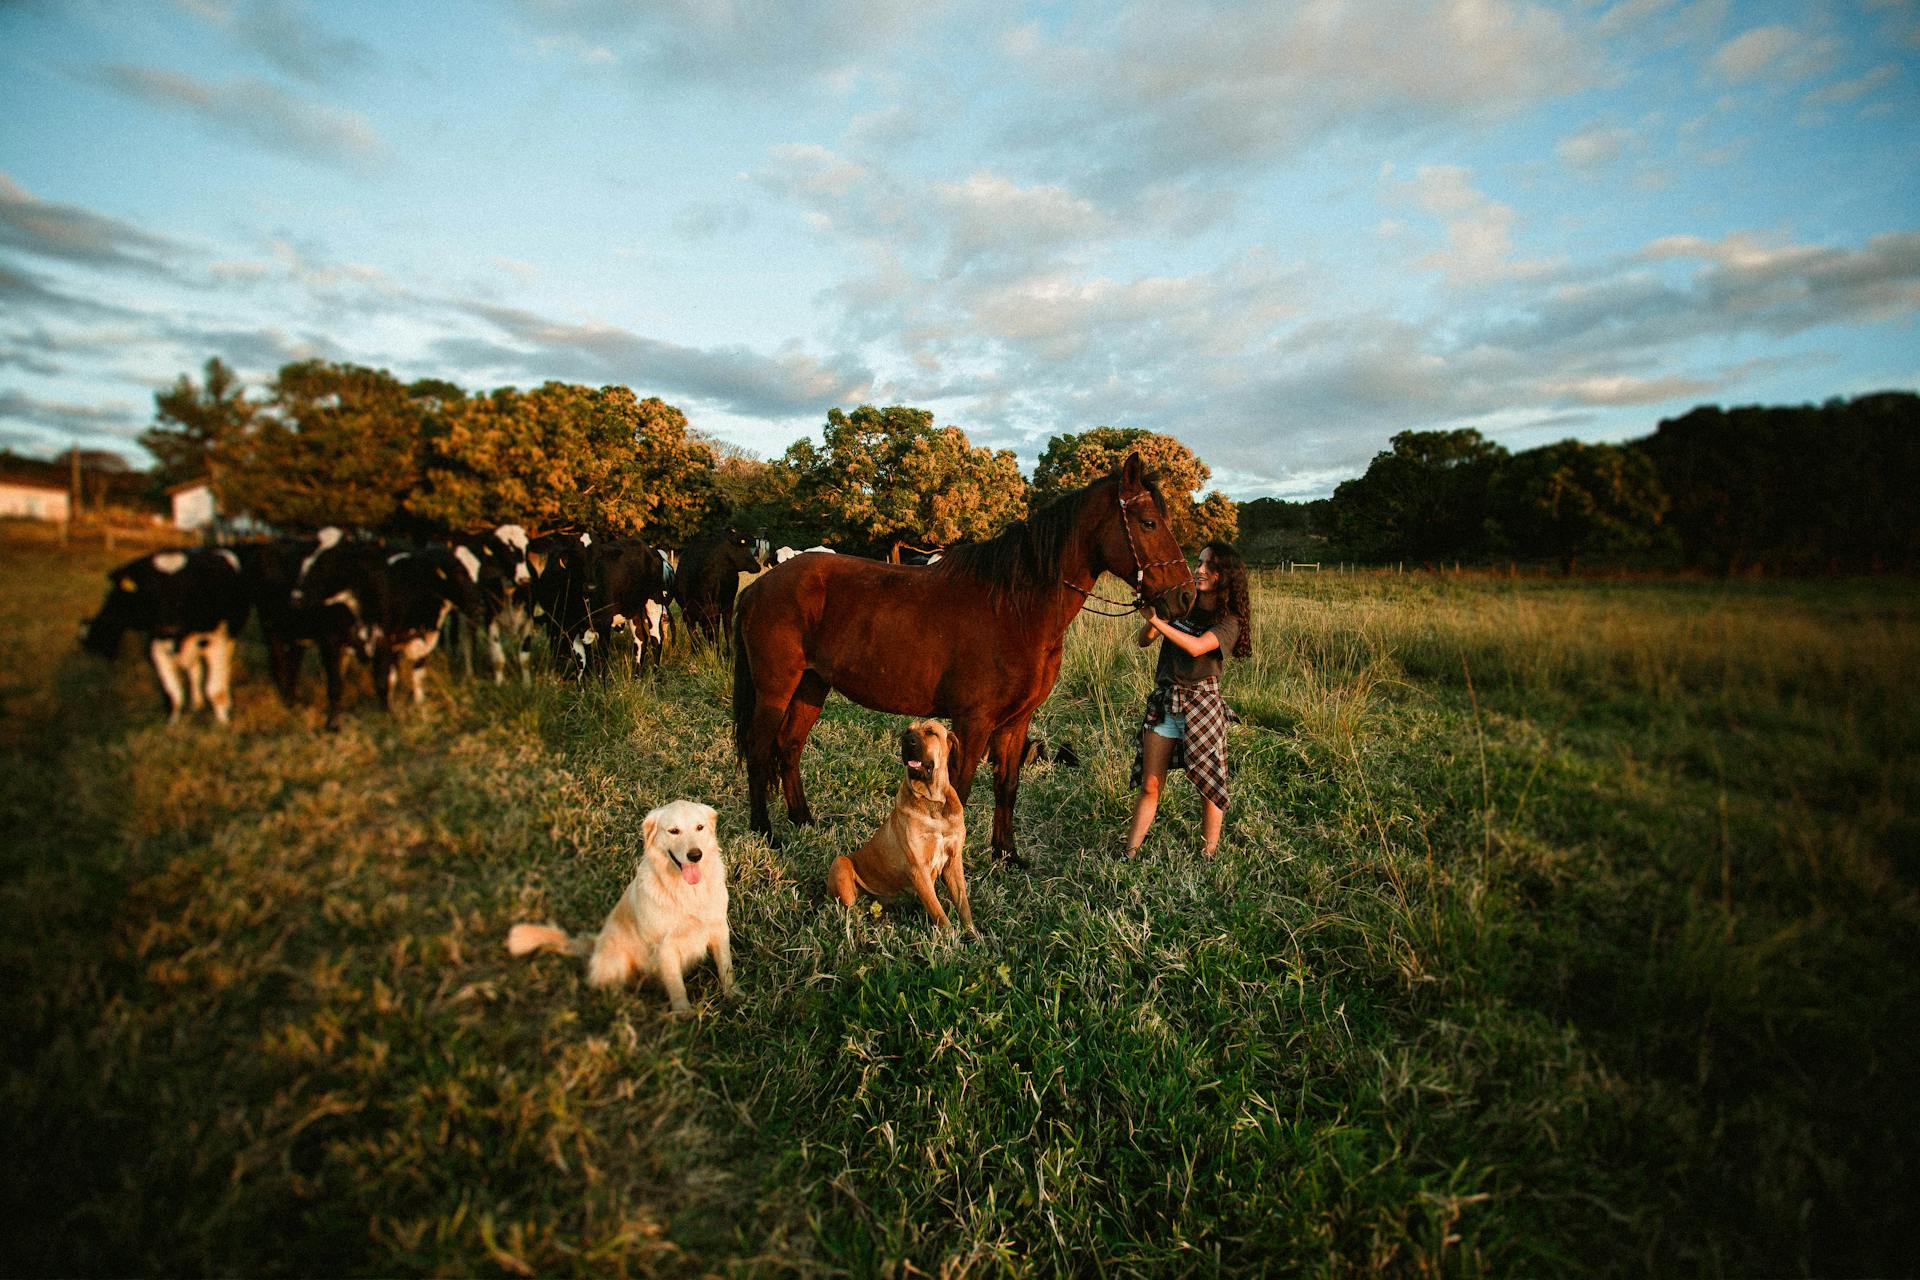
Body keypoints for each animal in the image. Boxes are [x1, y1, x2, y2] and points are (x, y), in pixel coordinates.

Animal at [84, 548, 251, 725]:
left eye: (188, 588)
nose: (169, 628)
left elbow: (214, 689)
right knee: (195, 671)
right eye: (150, 591)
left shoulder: (216, 642)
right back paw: (196, 703)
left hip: (230, 636)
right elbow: (174, 693)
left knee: (224, 669)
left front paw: (222, 722)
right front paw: (172, 722)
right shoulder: (156, 649)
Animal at [510, 794, 733, 1013]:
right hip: (616, 960)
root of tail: (595, 943)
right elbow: (676, 984)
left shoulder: (719, 928)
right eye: (674, 831)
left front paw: (734, 996)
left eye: (700, 827)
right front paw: (684, 1014)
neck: (688, 892)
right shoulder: (664, 945)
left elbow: (726, 966)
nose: (695, 855)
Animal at [737, 450, 1198, 859]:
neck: (1014, 608)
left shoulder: (1015, 722)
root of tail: (760, 586)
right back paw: (765, 833)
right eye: (1148, 523)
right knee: (760, 752)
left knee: (789, 748)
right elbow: (958, 791)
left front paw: (1006, 854)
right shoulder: (972, 722)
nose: (1186, 597)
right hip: (776, 689)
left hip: (811, 687)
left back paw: (802, 820)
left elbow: (1006, 786)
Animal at [829, 721, 975, 932]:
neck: (932, 801)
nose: (907, 740)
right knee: (849, 908)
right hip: (840, 863)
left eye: (930, 732)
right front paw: (950, 937)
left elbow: (963, 906)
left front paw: (973, 935)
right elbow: (939, 912)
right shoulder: (918, 868)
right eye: (908, 730)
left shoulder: (953, 862)